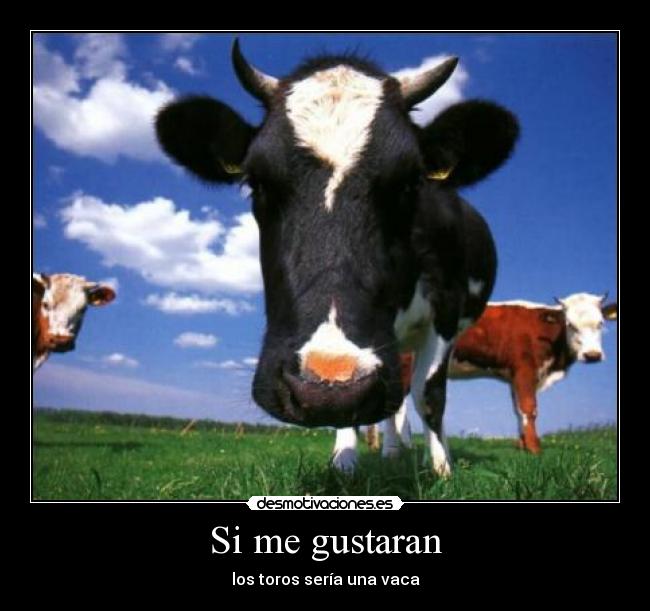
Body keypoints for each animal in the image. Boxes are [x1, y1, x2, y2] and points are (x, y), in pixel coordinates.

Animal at [155, 39, 519, 476]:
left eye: (411, 183)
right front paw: (345, 462)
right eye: (255, 182)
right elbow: (369, 411)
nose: (327, 385)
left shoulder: (446, 310)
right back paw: (391, 451)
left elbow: (429, 395)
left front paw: (442, 469)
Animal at [362, 292, 617, 461]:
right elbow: (529, 409)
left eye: (600, 323)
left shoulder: (513, 376)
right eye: (570, 324)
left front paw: (522, 446)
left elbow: (517, 410)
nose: (592, 355)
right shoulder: (525, 370)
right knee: (393, 409)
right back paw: (390, 452)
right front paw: (535, 449)